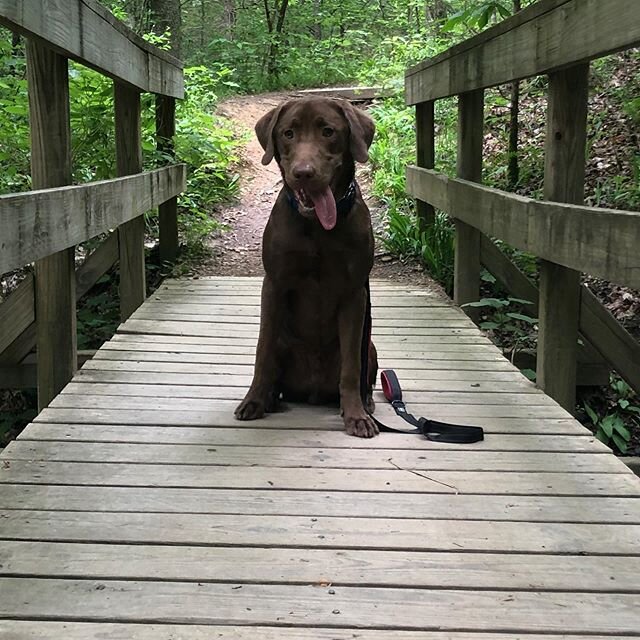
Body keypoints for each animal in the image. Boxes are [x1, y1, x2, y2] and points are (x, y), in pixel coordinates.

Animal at [234, 97, 378, 438]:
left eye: (328, 131)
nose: (304, 173)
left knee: (363, 370)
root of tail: (312, 391)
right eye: (288, 133)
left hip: (371, 345)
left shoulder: (355, 292)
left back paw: (366, 403)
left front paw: (356, 415)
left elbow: (351, 366)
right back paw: (269, 398)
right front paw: (254, 400)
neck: (316, 228)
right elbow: (262, 352)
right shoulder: (274, 284)